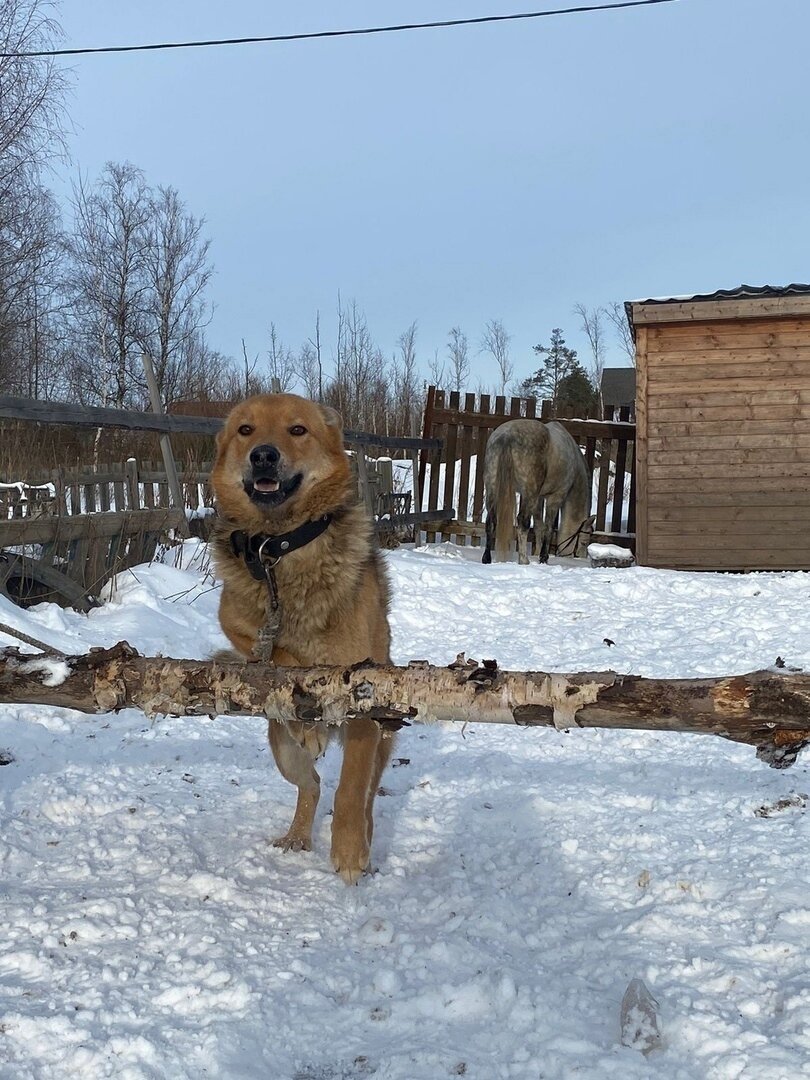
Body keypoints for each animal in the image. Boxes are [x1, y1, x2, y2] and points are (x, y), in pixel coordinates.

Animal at [212, 393, 393, 881]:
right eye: (246, 430)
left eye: (297, 430)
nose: (263, 456)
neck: (278, 546)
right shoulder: (234, 623)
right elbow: (279, 656)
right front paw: (304, 708)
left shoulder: (362, 698)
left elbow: (350, 788)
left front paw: (348, 850)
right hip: (281, 748)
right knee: (309, 783)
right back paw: (297, 833)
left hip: (381, 739)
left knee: (366, 795)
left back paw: (364, 844)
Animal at [481, 416, 596, 565]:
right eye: (583, 542)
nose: (580, 557)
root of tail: (506, 436)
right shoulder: (555, 496)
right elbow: (548, 527)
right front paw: (543, 557)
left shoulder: (538, 498)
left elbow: (538, 526)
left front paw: (537, 553)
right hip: (529, 492)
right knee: (522, 521)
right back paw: (523, 559)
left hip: (493, 488)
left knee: (491, 521)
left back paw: (487, 558)